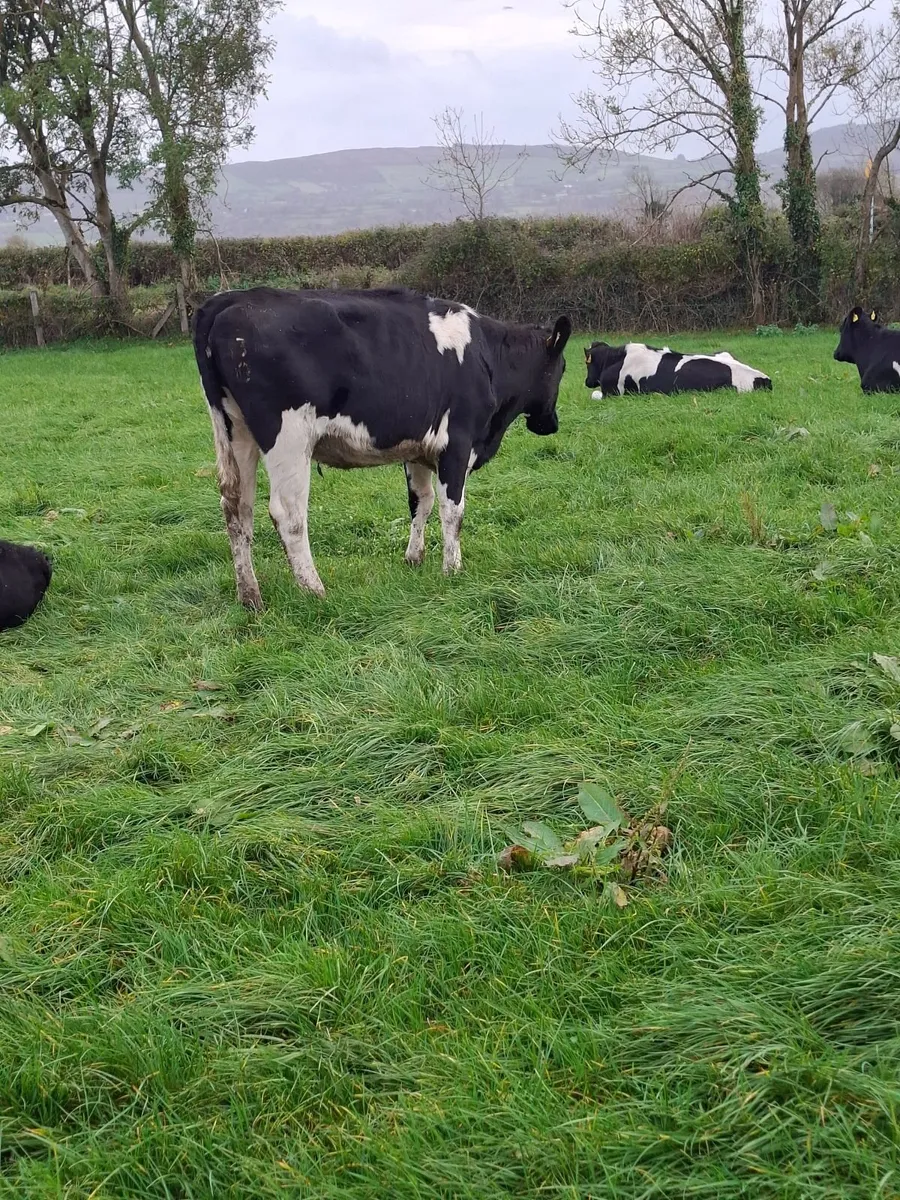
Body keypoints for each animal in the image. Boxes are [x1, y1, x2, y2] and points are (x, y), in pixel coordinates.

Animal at [193, 286, 571, 607]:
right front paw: (452, 569)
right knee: (288, 513)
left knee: (237, 508)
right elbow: (453, 510)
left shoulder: (418, 448)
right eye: (563, 368)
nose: (551, 424)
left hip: (236, 432)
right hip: (288, 437)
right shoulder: (457, 444)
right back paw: (314, 590)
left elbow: (420, 502)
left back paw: (250, 596)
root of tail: (231, 299)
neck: (488, 358)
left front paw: (414, 558)